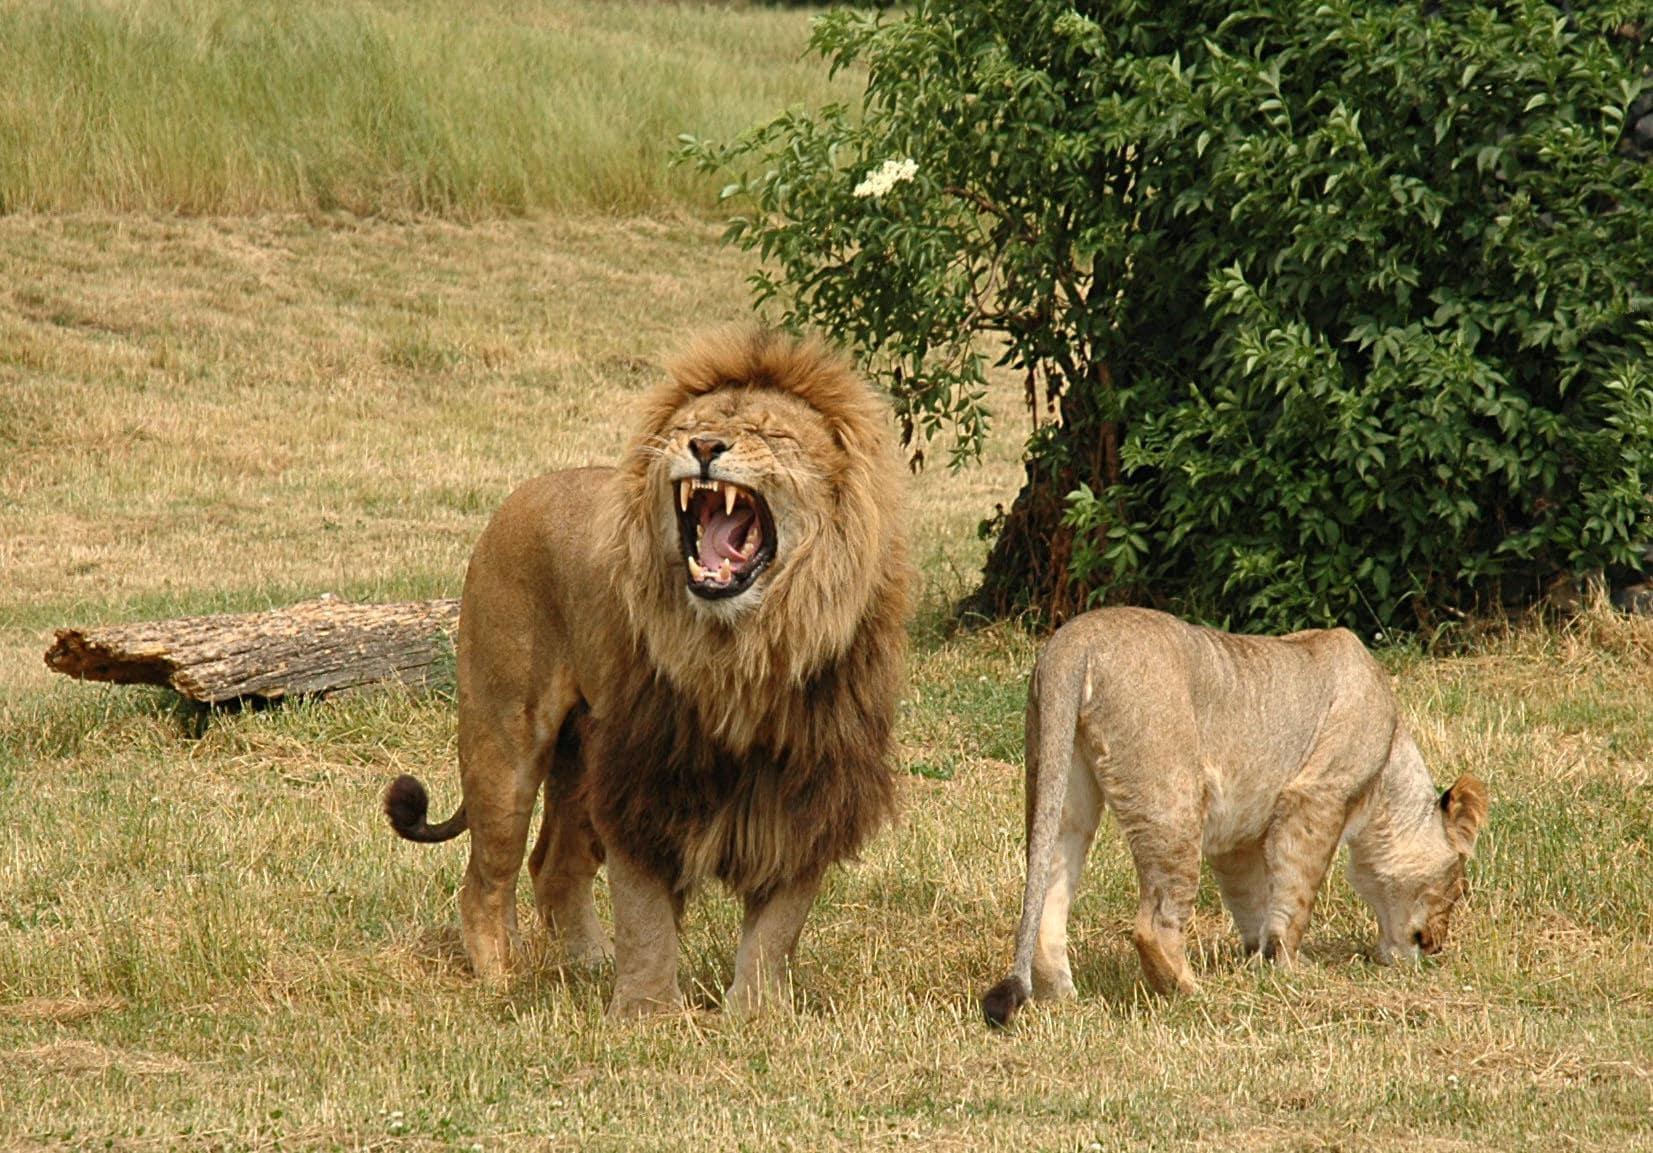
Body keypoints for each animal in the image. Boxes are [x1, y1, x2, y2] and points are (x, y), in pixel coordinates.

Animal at [381, 325, 912, 1017]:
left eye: (770, 434)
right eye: (692, 426)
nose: (705, 447)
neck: (743, 651)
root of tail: (524, 492)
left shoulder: (809, 784)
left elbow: (778, 925)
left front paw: (756, 1016)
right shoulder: (643, 774)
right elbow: (646, 916)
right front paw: (645, 1015)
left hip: (580, 754)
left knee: (555, 867)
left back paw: (586, 963)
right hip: (504, 738)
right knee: (487, 877)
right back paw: (503, 979)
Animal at [971, 607, 1494, 1017]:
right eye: (1457, 885)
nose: (1436, 945)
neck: (1389, 769)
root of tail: (1075, 641)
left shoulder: (1238, 833)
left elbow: (1253, 899)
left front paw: (1259, 960)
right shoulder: (1317, 796)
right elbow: (1295, 893)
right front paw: (1290, 970)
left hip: (1059, 779)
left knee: (1049, 887)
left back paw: (1064, 998)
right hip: (1174, 797)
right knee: (1153, 924)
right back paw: (1190, 994)